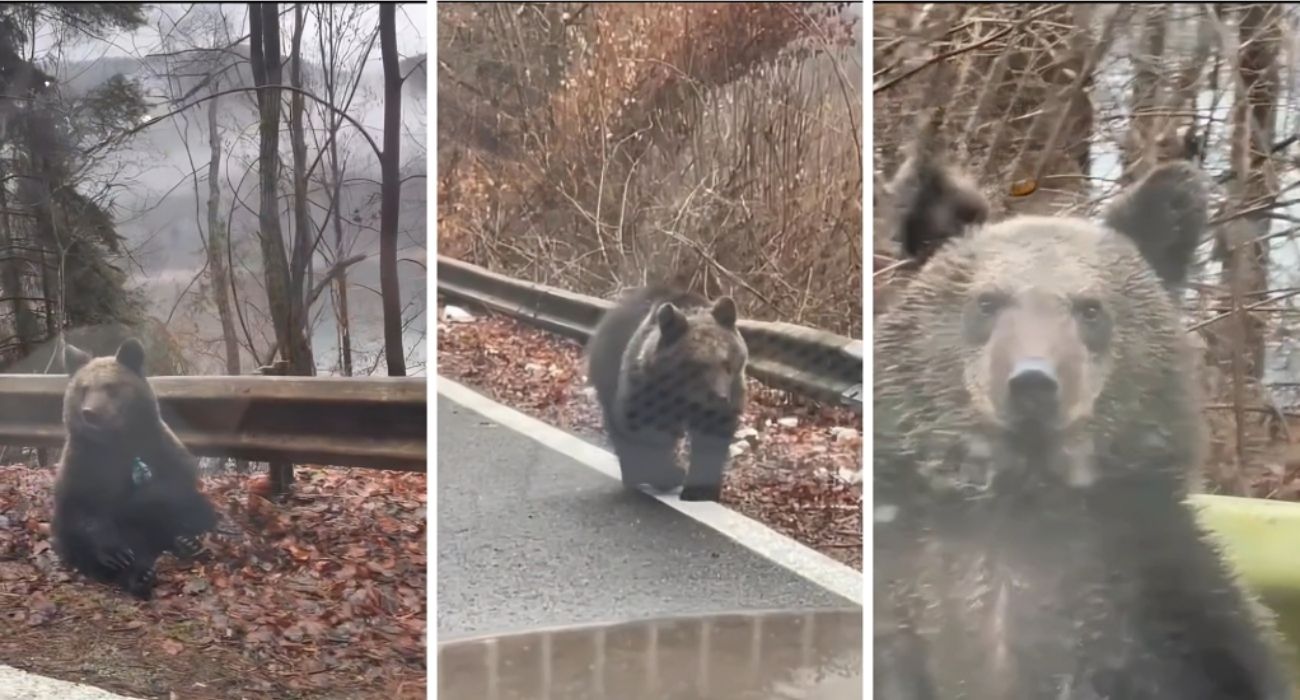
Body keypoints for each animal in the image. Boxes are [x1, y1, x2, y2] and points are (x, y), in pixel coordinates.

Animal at [52, 335, 220, 595]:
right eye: (84, 388)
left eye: (110, 387)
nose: (90, 412)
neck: (116, 442)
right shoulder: (82, 464)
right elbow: (83, 511)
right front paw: (116, 554)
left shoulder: (159, 449)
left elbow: (176, 486)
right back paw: (138, 574)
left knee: (199, 510)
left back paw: (187, 542)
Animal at [585, 284, 748, 502]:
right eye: (698, 366)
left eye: (727, 364)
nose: (719, 397)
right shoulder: (646, 388)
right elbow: (643, 428)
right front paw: (667, 474)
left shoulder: (729, 393)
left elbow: (712, 436)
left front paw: (701, 489)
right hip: (608, 370)